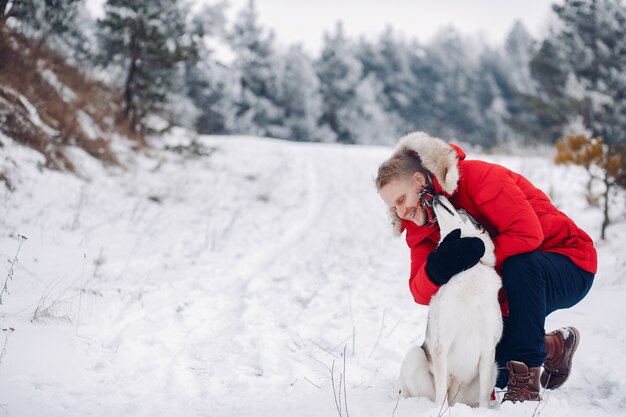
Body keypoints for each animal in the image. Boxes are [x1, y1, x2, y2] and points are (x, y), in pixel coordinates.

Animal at [400, 194, 502, 406]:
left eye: (461, 210)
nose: (437, 195)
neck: (467, 267)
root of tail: (459, 402)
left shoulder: (488, 350)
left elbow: (484, 396)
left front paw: (485, 411)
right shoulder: (441, 345)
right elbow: (441, 392)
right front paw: (439, 410)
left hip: (494, 369)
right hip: (414, 358)